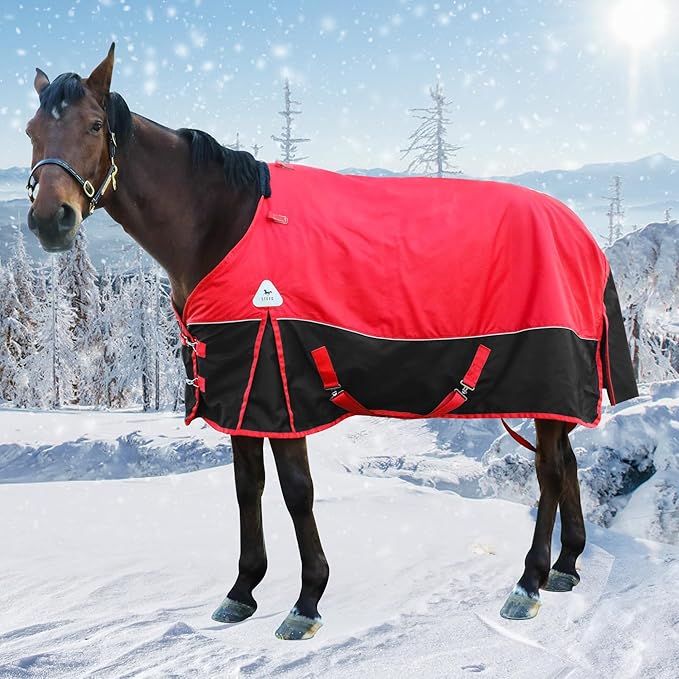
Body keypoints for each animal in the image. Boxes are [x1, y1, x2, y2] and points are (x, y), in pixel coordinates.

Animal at [24, 44, 638, 640]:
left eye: (95, 125)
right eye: (31, 130)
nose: (51, 220)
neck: (223, 225)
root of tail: (584, 236)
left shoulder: (280, 385)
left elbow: (297, 491)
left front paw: (307, 600)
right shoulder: (238, 390)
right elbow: (247, 486)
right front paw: (242, 591)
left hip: (547, 382)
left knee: (550, 473)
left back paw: (529, 582)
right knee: (568, 464)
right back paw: (565, 567)